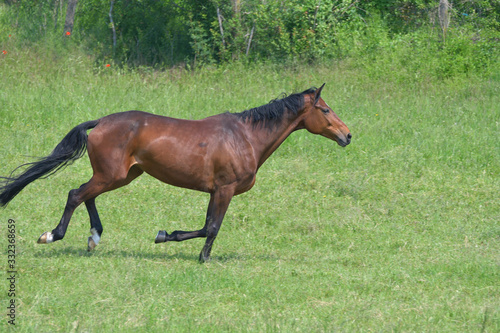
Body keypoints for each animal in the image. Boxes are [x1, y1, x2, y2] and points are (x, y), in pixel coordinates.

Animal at [0, 83, 352, 262]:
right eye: (325, 110)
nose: (347, 135)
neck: (246, 136)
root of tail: (99, 123)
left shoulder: (216, 191)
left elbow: (208, 226)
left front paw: (171, 238)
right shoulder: (224, 189)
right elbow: (212, 228)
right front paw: (190, 251)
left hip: (121, 176)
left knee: (87, 196)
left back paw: (93, 238)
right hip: (111, 176)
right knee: (75, 194)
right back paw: (52, 235)